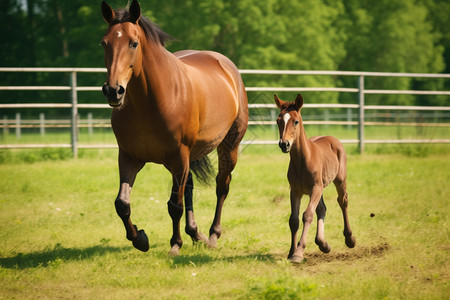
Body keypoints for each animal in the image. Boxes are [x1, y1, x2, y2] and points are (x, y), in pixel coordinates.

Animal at [100, 0, 248, 255]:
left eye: (133, 43)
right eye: (104, 43)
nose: (113, 90)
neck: (151, 101)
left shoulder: (179, 155)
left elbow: (174, 205)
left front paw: (175, 245)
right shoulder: (129, 156)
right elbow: (122, 203)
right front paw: (140, 238)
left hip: (227, 147)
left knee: (221, 187)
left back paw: (212, 235)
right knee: (188, 187)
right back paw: (195, 233)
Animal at [274, 94, 356, 262]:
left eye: (295, 121)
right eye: (278, 121)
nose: (284, 144)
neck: (303, 160)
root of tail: (332, 139)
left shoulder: (315, 188)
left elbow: (307, 215)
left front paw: (298, 253)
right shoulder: (295, 190)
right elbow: (294, 220)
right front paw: (291, 252)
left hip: (339, 180)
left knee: (343, 201)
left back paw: (349, 239)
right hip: (321, 187)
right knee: (322, 208)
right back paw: (323, 244)